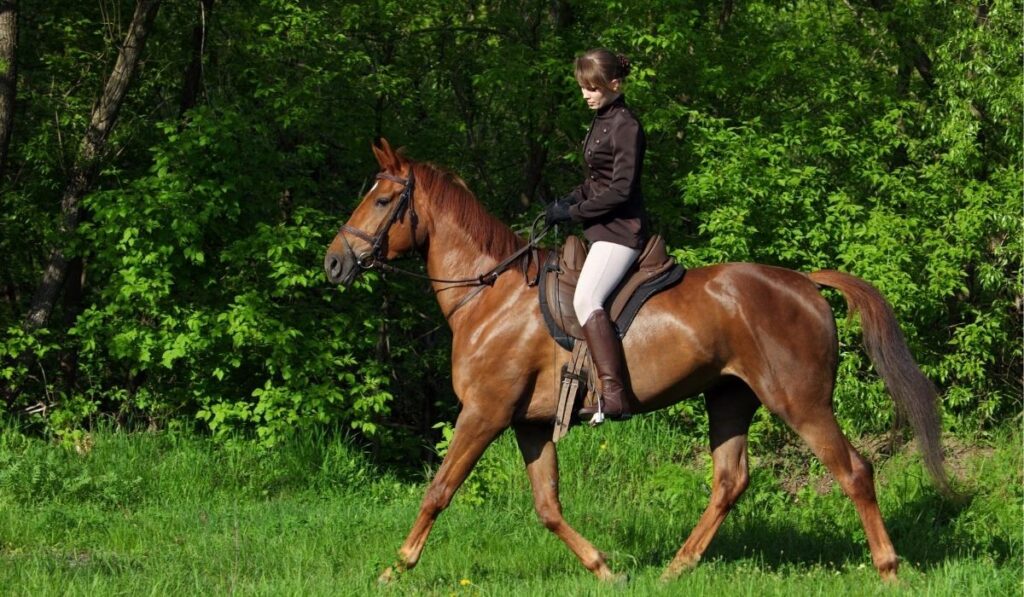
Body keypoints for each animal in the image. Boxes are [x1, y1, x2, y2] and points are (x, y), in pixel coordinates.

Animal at [323, 138, 948, 583]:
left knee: (854, 472)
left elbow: (439, 490)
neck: (491, 296)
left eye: (383, 200)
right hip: (729, 398)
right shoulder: (528, 424)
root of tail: (805, 283)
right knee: (730, 482)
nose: (334, 263)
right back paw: (676, 567)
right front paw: (605, 568)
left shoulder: (484, 413)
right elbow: (547, 506)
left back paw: (888, 569)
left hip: (801, 402)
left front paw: (395, 568)